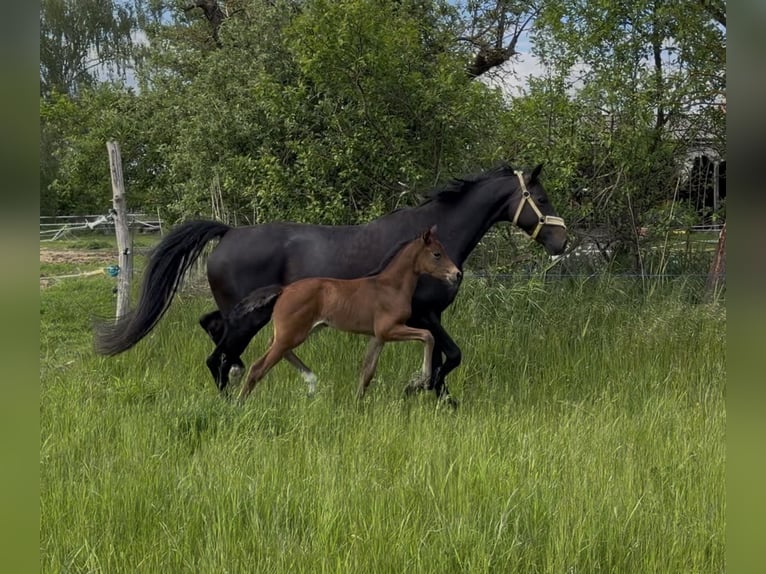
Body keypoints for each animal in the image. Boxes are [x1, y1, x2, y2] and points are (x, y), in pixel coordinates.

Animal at [228, 226, 461, 403]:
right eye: (437, 254)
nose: (457, 274)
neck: (391, 287)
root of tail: (284, 290)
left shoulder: (378, 336)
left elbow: (367, 372)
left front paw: (357, 404)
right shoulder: (390, 329)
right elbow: (428, 336)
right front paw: (418, 381)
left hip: (301, 331)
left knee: (275, 348)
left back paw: (311, 381)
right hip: (291, 334)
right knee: (258, 367)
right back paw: (239, 404)